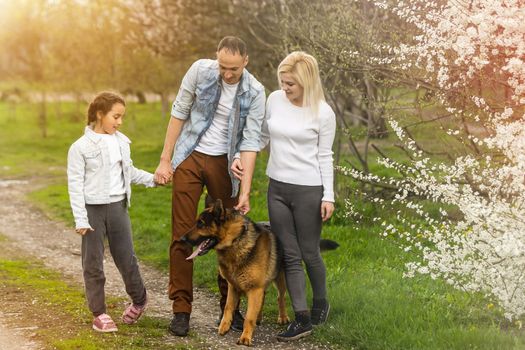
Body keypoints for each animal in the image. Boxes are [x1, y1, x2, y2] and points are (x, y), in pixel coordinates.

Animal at [183, 198, 340, 346]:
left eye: (200, 224)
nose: (182, 239)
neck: (236, 239)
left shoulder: (254, 289)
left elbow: (249, 317)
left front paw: (245, 337)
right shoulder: (233, 287)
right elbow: (228, 308)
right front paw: (224, 327)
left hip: (281, 279)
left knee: (280, 297)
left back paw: (282, 317)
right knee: (263, 299)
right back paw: (259, 317)